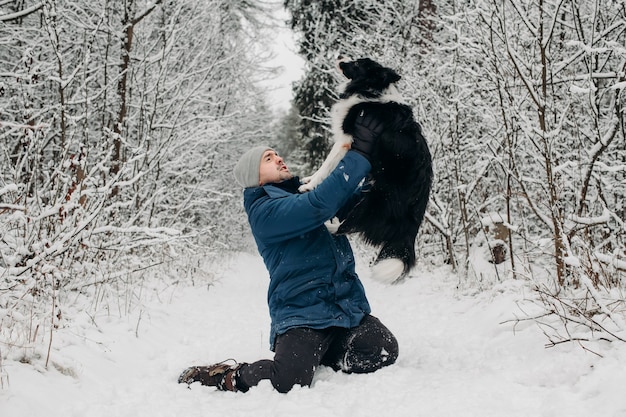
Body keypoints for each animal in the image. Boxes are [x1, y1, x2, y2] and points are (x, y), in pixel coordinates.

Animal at [300, 56, 432, 282]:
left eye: (357, 64)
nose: (340, 58)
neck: (370, 91)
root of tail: (413, 226)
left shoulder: (346, 140)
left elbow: (327, 164)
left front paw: (310, 186)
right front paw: (309, 180)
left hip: (376, 200)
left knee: (348, 226)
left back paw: (328, 225)